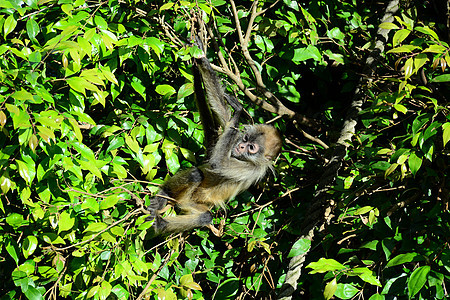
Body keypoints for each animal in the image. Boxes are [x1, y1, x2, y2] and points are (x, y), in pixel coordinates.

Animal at [147, 37, 282, 234]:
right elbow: (222, 111)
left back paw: (162, 222)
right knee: (196, 177)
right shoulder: (233, 137)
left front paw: (238, 110)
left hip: (194, 203)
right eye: (245, 139)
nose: (241, 146)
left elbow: (217, 164)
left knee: (204, 212)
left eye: (251, 148)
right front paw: (203, 60)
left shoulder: (254, 169)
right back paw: (165, 194)